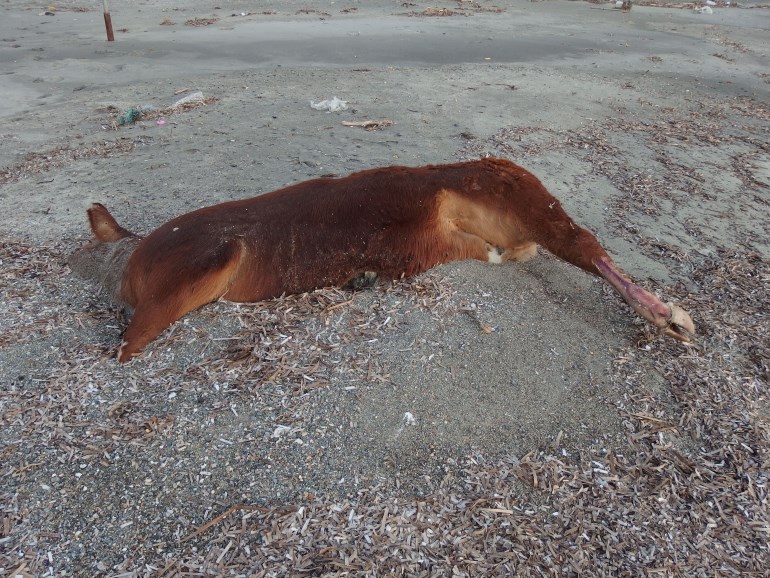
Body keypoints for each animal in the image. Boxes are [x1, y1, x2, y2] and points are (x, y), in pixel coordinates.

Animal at [69, 158, 692, 360]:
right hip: (488, 222)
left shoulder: (201, 258)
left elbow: (133, 336)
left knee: (583, 244)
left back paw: (669, 316)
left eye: (78, 251)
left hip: (515, 189)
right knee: (524, 248)